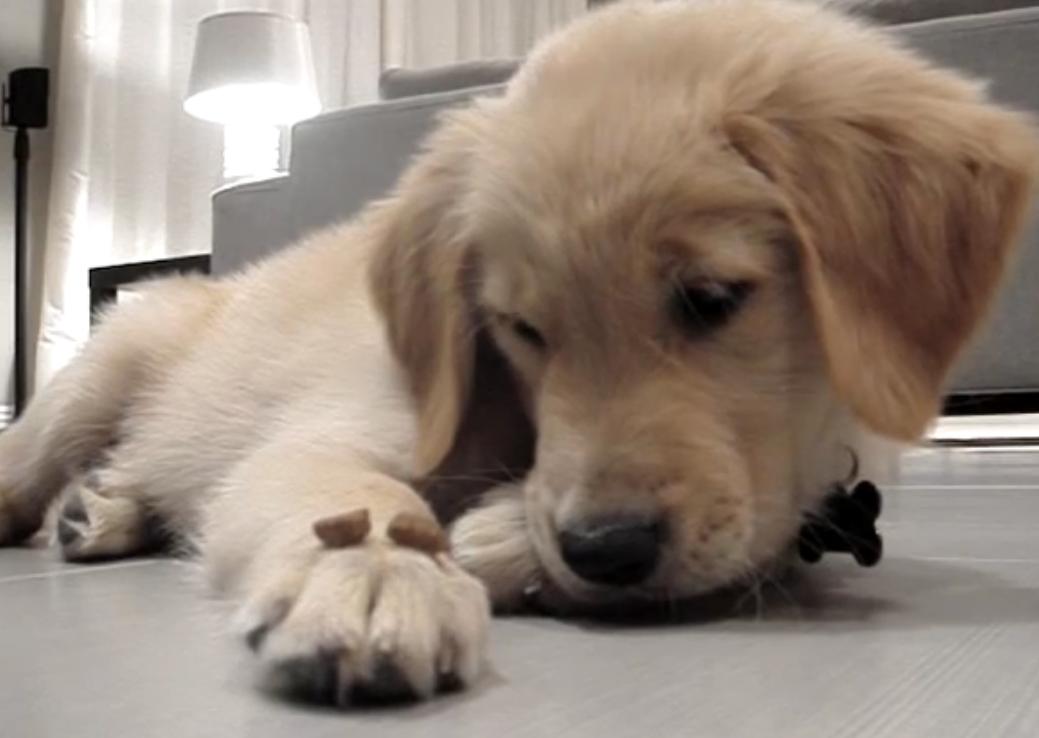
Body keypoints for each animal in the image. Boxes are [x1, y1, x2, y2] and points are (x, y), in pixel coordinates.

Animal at [0, 0, 1034, 706]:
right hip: (100, 373)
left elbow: (757, 538)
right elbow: (352, 495)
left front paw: (499, 537)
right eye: (521, 329)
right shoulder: (335, 433)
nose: (603, 549)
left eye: (711, 298)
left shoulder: (783, 491)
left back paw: (107, 508)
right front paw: (375, 573)